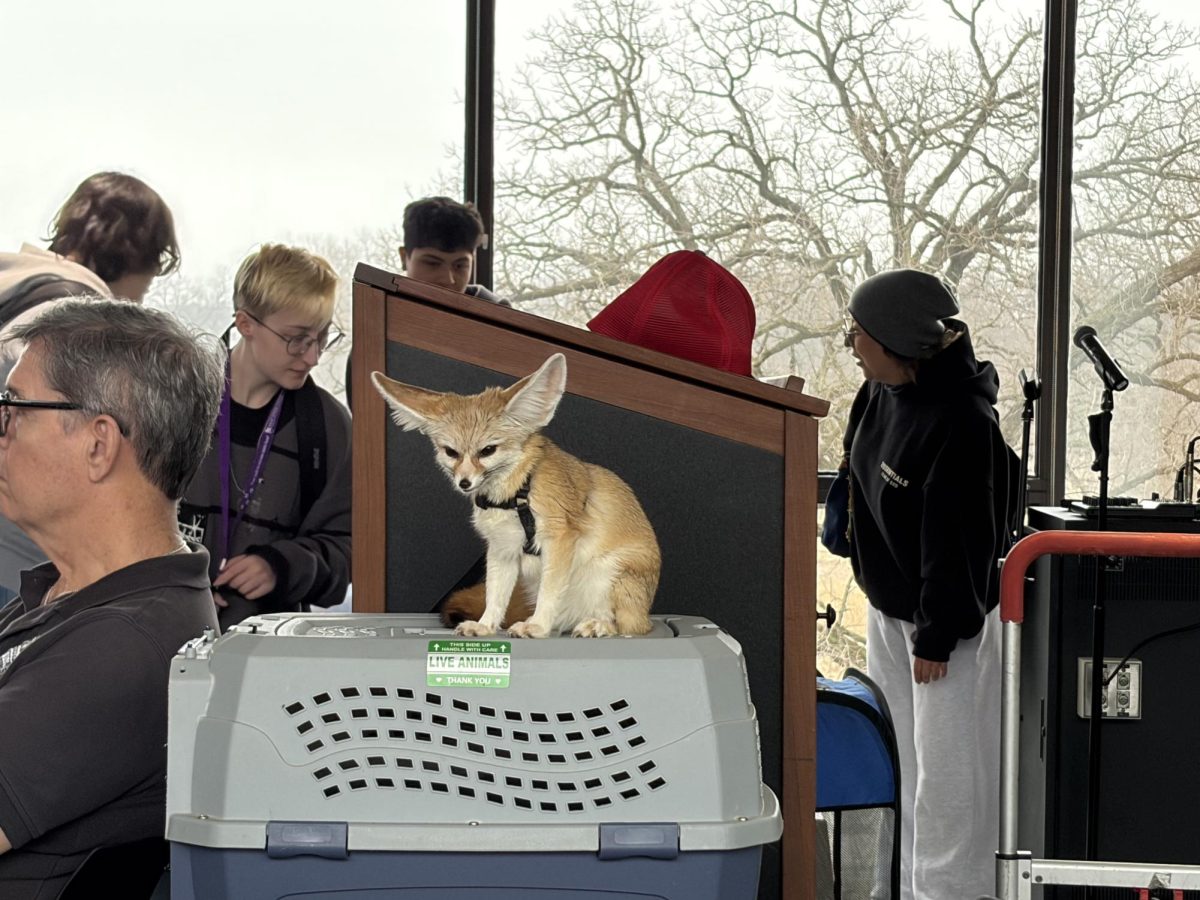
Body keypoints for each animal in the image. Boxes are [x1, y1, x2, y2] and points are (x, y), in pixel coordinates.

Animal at [370, 353, 660, 638]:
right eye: (451, 452)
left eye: (487, 450)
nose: (464, 483)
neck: (515, 494)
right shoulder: (501, 548)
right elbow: (495, 595)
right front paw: (486, 625)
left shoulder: (559, 538)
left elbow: (549, 593)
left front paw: (539, 626)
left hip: (608, 574)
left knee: (630, 626)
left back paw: (597, 625)